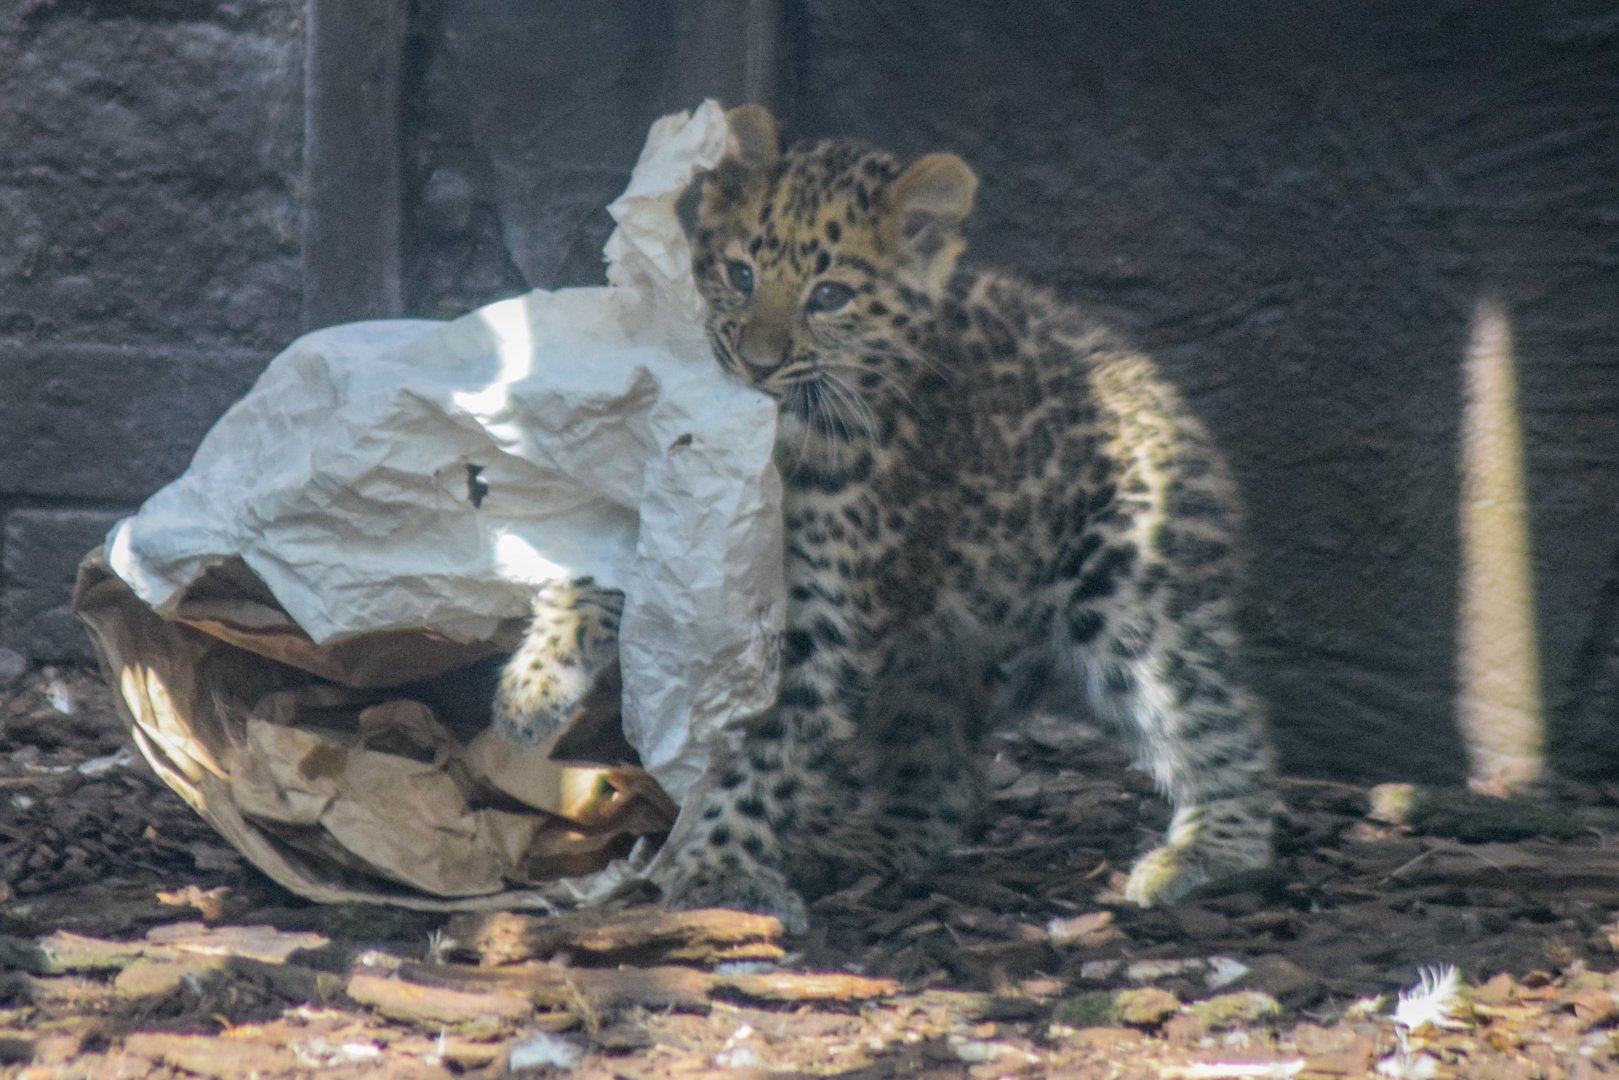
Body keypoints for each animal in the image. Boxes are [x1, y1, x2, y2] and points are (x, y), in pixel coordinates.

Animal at [495, 105, 1276, 934]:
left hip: (1130, 596)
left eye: (830, 295)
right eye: (741, 275)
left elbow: (774, 760)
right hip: (931, 659)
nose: (759, 363)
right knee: (941, 785)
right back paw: (860, 842)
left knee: (1214, 719)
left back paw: (1211, 847)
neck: (783, 446)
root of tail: (1163, 399)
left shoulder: (826, 632)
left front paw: (721, 867)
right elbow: (596, 575)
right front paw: (533, 685)